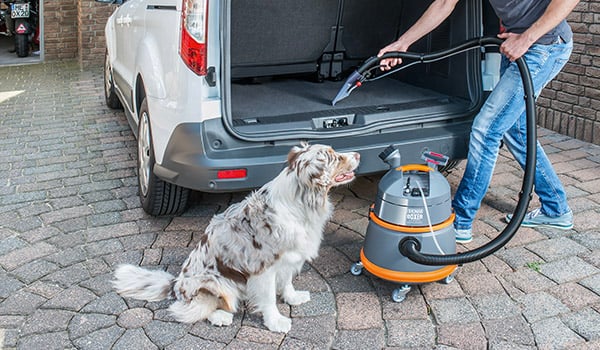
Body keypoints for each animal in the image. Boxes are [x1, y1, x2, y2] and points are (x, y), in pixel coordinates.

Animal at [113, 143, 360, 334]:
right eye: (335, 157)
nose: (358, 154)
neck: (302, 202)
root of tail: (175, 285)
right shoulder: (263, 268)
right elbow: (269, 298)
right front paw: (276, 322)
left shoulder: (289, 258)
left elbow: (287, 281)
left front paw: (293, 298)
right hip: (213, 283)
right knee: (190, 310)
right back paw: (220, 317)